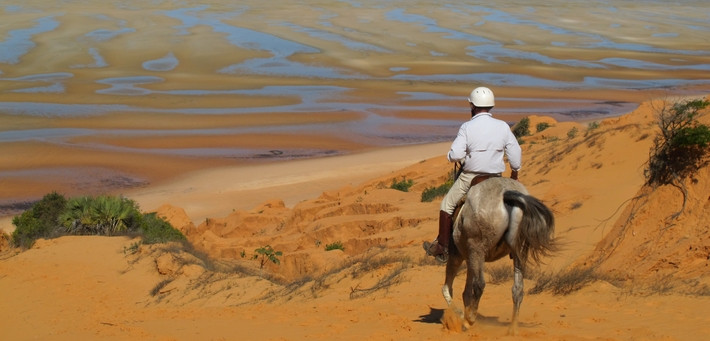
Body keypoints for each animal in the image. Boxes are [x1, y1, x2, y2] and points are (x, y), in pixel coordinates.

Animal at [444, 178, 556, 334]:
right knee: (518, 289)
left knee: (479, 284)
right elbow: (465, 291)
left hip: (476, 249)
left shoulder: (457, 255)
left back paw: (470, 319)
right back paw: (513, 329)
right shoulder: (469, 258)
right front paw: (463, 314)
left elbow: (448, 288)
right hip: (518, 251)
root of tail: (507, 194)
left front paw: (461, 315)